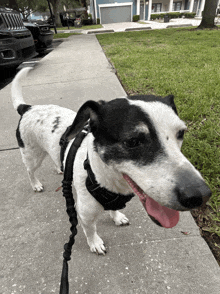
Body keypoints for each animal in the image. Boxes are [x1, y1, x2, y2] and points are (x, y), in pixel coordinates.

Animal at [11, 67, 211, 255]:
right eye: (132, 141)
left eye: (181, 133)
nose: (200, 195)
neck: (103, 178)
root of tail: (28, 107)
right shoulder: (84, 213)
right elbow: (90, 230)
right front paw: (95, 243)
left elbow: (113, 210)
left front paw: (116, 217)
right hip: (31, 155)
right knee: (30, 170)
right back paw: (35, 184)